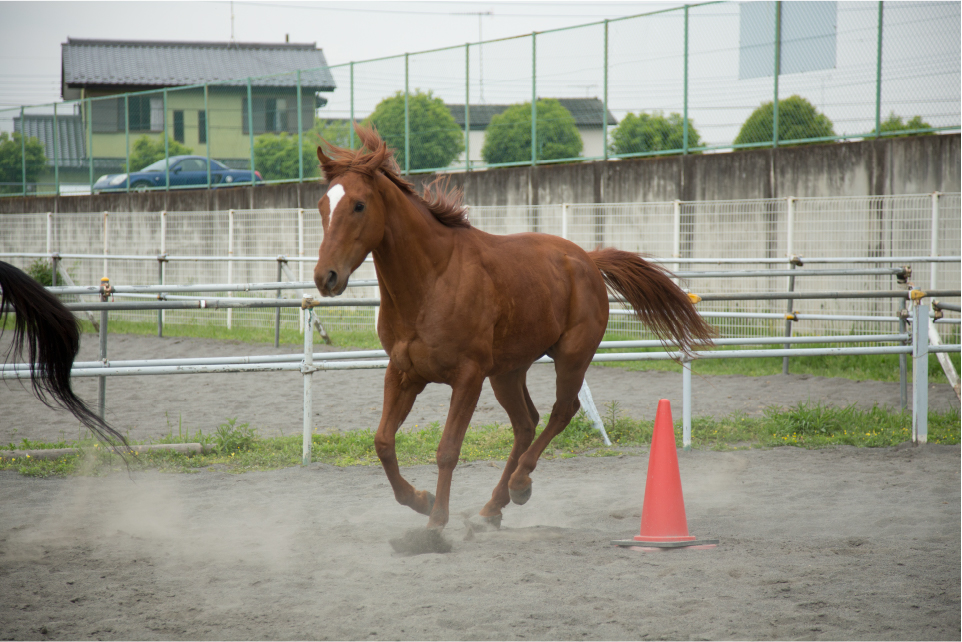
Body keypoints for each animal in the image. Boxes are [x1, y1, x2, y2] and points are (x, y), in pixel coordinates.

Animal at [313, 125, 714, 532]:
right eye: (322, 206)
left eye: (359, 205)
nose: (325, 276)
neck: (433, 280)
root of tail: (587, 258)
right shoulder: (403, 373)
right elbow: (383, 442)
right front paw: (422, 501)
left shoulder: (468, 377)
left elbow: (448, 450)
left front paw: (437, 522)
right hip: (508, 371)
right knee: (526, 423)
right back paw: (494, 505)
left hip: (571, 357)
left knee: (561, 411)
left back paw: (520, 484)